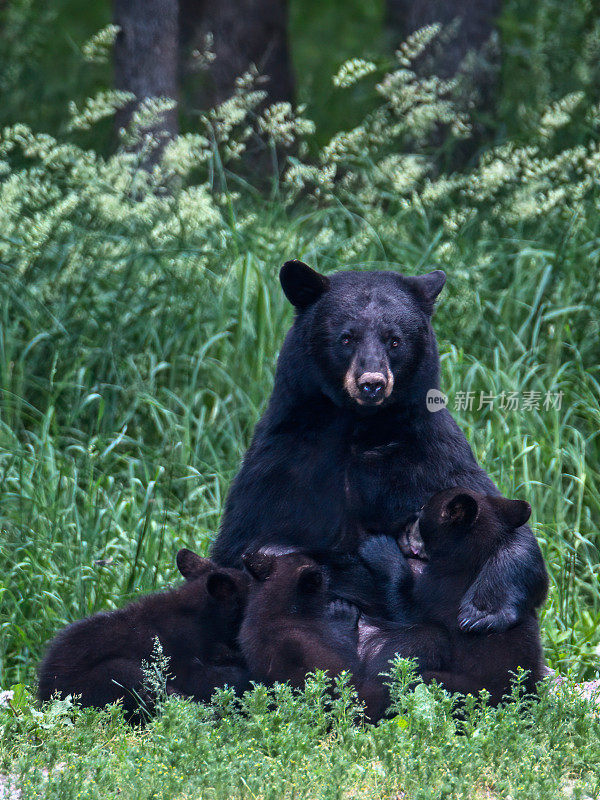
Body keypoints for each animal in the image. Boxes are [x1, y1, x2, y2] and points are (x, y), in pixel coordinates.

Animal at [212, 260, 548, 636]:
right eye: (346, 337)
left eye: (395, 341)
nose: (372, 384)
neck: (357, 430)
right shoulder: (281, 461)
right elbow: (242, 545)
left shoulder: (428, 451)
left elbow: (504, 525)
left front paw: (483, 610)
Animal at [358, 488, 548, 708]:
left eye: (422, 511)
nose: (405, 526)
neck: (468, 556)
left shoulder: (440, 589)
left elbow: (406, 607)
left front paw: (378, 548)